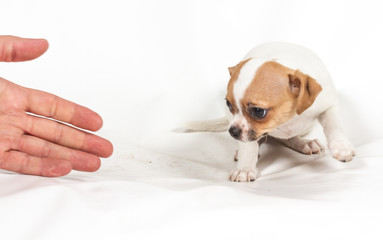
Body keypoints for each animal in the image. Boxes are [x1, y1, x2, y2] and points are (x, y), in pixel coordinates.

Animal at [183, 42, 356, 182]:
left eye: (258, 111)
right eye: (228, 104)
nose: (232, 131)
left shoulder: (329, 105)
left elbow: (333, 125)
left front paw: (341, 147)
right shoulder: (248, 133)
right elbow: (249, 146)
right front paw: (245, 168)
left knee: (288, 138)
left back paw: (303, 143)